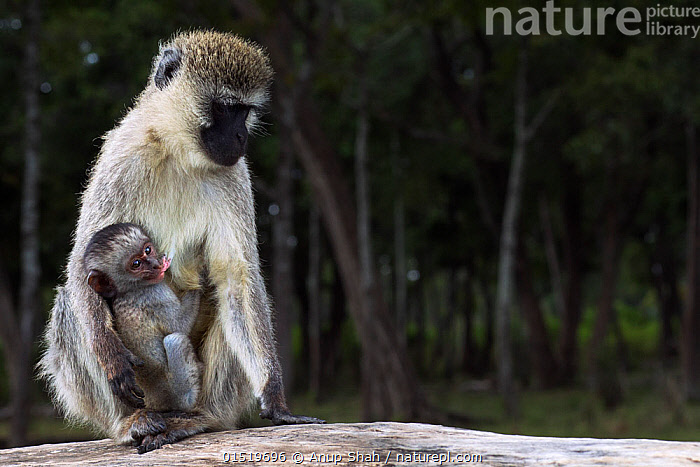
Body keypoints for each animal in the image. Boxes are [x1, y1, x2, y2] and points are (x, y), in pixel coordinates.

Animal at [83, 223, 202, 414]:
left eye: (148, 250)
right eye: (136, 264)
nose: (155, 264)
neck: (129, 290)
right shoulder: (154, 294)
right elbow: (179, 325)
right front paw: (202, 272)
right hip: (181, 394)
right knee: (175, 340)